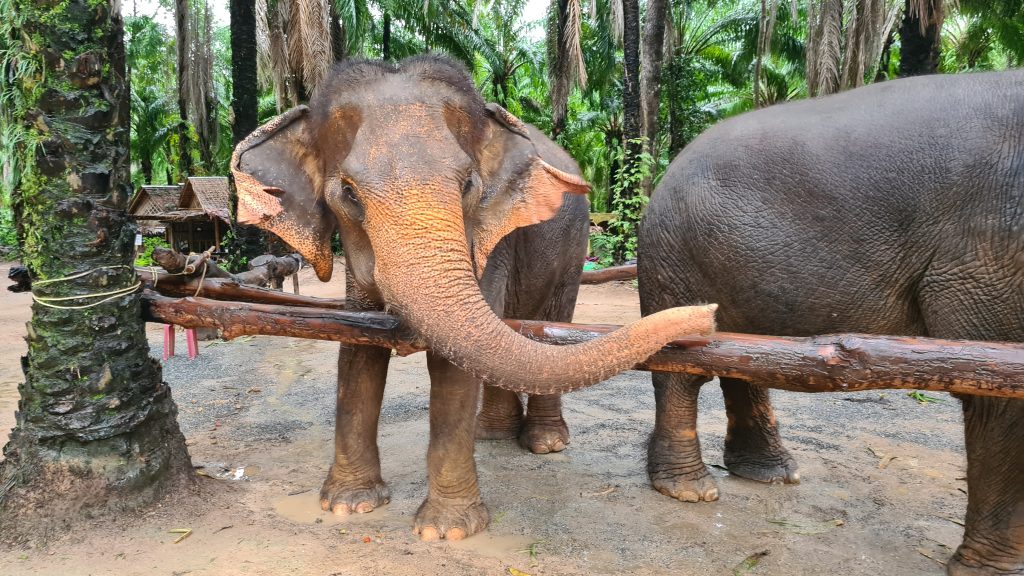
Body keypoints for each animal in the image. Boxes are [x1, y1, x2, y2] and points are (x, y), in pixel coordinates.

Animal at [231, 55, 716, 541]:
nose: (709, 314)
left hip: (574, 246)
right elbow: (359, 346)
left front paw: (444, 532)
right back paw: (493, 435)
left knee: (553, 314)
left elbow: (453, 367)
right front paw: (348, 505)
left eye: (468, 185)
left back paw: (545, 443)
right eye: (348, 193)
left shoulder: (491, 241)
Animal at [638, 68, 1023, 574]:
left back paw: (773, 476)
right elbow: (998, 393)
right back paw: (691, 491)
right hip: (676, 256)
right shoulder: (986, 248)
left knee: (742, 357)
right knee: (684, 366)